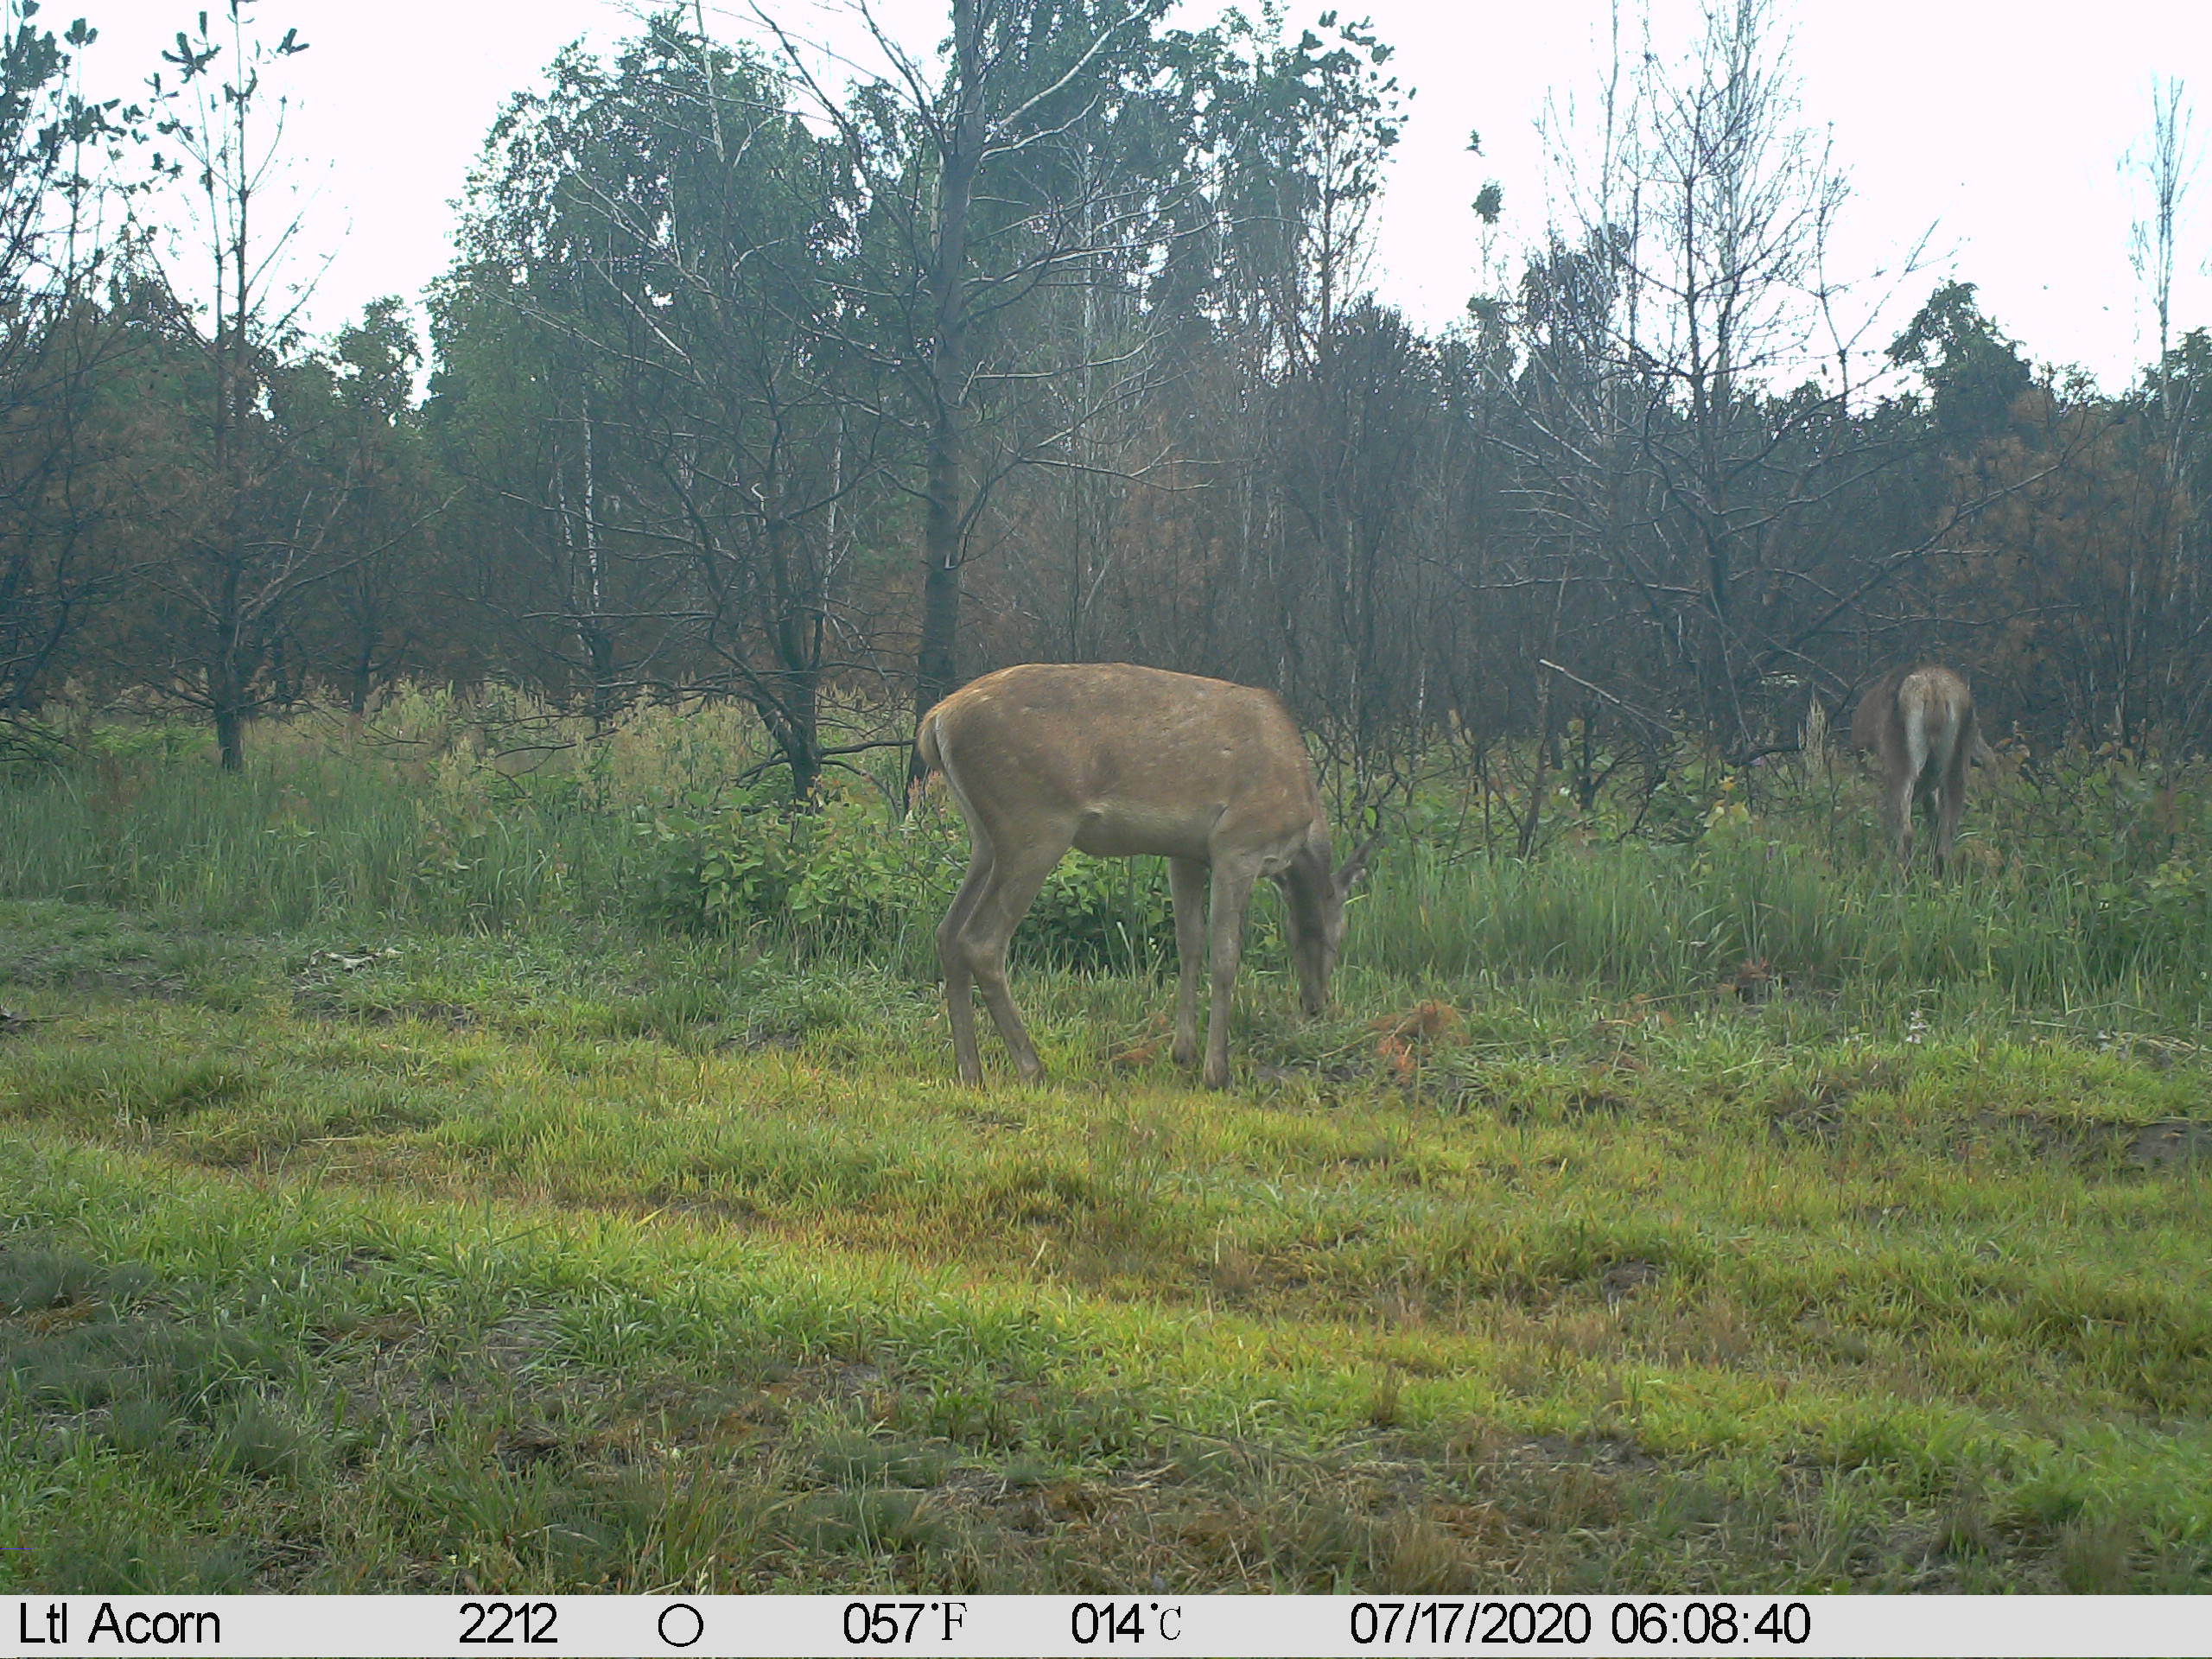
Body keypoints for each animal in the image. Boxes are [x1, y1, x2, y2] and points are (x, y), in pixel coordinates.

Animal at [914, 662, 1372, 1089]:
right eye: (1341, 933)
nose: (1316, 1003)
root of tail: (936, 722)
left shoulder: (1186, 854)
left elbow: (1190, 942)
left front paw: (1183, 1051)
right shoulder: (1240, 844)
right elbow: (1225, 957)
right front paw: (1216, 1071)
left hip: (985, 838)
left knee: (947, 931)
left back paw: (971, 1071)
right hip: (1034, 824)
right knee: (981, 940)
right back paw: (1030, 1066)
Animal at [1849, 664, 1993, 873]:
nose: (1986, 758)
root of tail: (1935, 693)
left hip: (1901, 762)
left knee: (1905, 829)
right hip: (1956, 764)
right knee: (1947, 831)